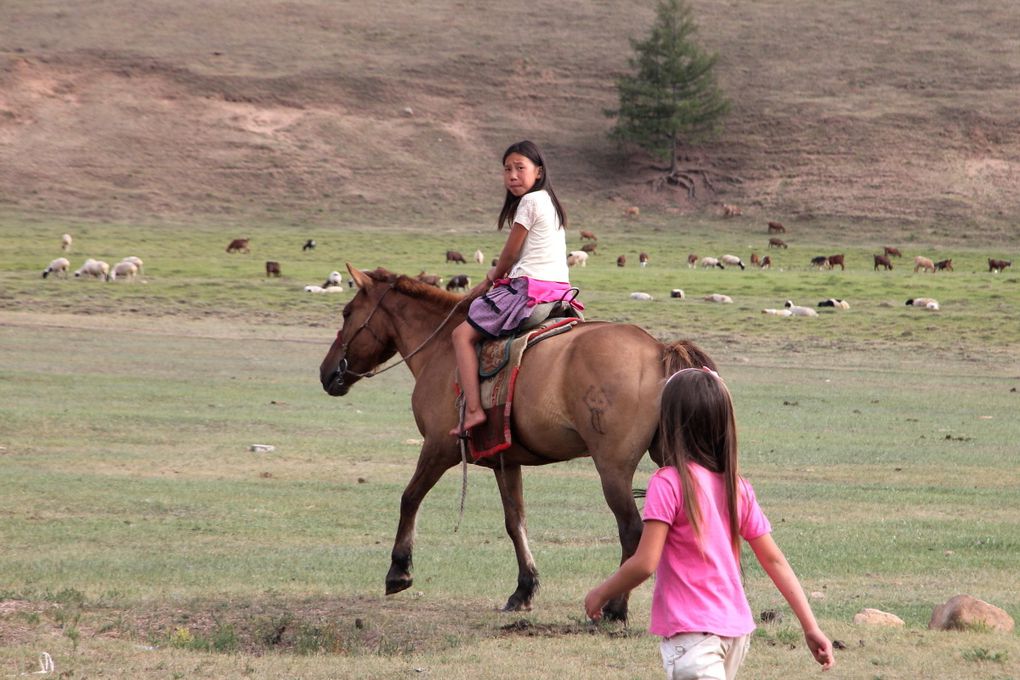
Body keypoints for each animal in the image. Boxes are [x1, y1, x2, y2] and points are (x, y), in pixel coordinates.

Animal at [320, 265, 718, 623]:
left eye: (347, 313)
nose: (326, 373)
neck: (441, 348)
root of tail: (658, 350)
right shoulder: (504, 461)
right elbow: (516, 522)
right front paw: (524, 590)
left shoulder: (438, 449)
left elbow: (410, 497)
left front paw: (399, 570)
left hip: (613, 469)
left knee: (633, 530)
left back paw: (615, 609)